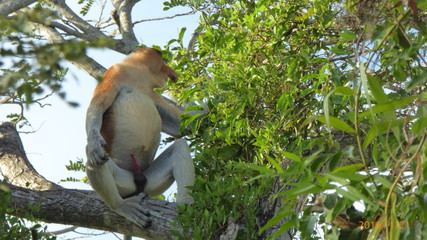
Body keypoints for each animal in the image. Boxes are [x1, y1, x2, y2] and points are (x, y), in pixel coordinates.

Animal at [85, 47, 197, 227]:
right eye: (163, 62)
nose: (172, 74)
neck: (135, 74)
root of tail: (138, 180)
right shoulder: (114, 74)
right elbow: (97, 106)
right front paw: (94, 142)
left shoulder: (150, 91)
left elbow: (182, 125)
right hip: (124, 181)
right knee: (94, 160)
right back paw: (122, 206)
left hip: (151, 180)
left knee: (180, 146)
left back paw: (185, 200)